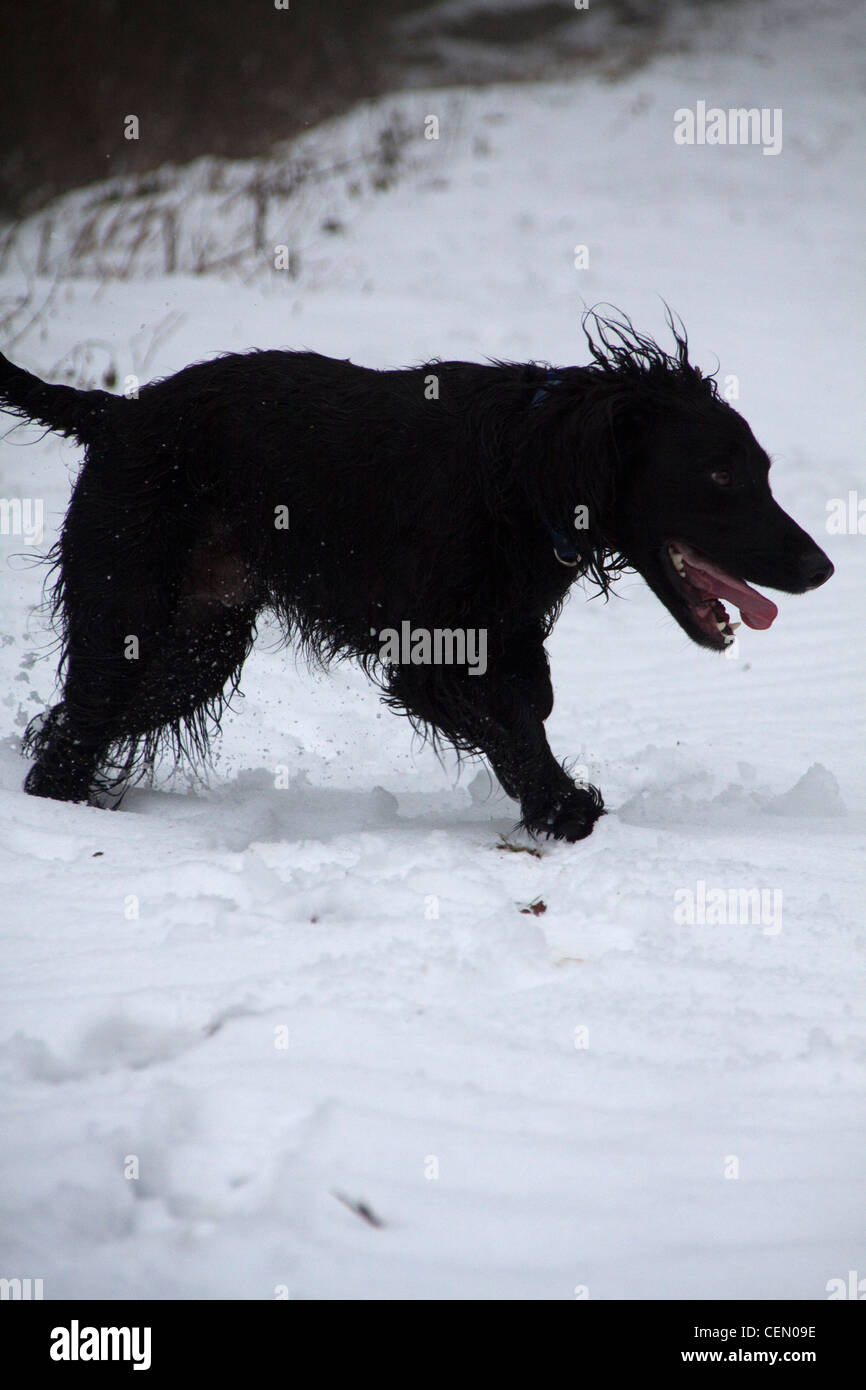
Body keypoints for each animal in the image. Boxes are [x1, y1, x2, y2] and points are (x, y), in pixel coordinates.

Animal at [0, 314, 834, 834]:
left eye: (761, 471)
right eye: (720, 476)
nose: (822, 567)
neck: (524, 467)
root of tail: (116, 414)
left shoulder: (505, 638)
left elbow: (530, 703)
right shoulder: (425, 655)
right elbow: (513, 727)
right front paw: (562, 808)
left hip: (197, 644)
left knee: (75, 728)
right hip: (129, 620)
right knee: (72, 735)